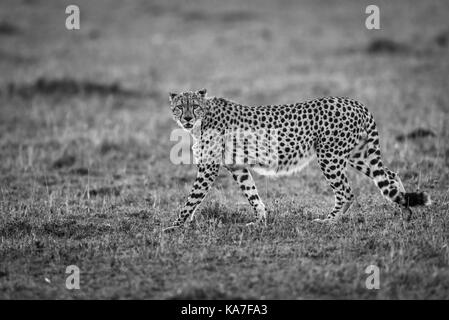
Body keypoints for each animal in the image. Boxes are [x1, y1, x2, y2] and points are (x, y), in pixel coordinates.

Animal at [163, 89, 428, 231]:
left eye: (194, 106)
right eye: (179, 107)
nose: (187, 118)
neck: (204, 117)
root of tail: (355, 102)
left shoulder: (209, 167)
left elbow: (192, 198)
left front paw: (174, 226)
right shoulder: (237, 167)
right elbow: (252, 195)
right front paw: (261, 221)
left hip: (330, 156)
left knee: (346, 191)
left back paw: (329, 221)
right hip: (359, 154)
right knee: (390, 175)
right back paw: (405, 211)